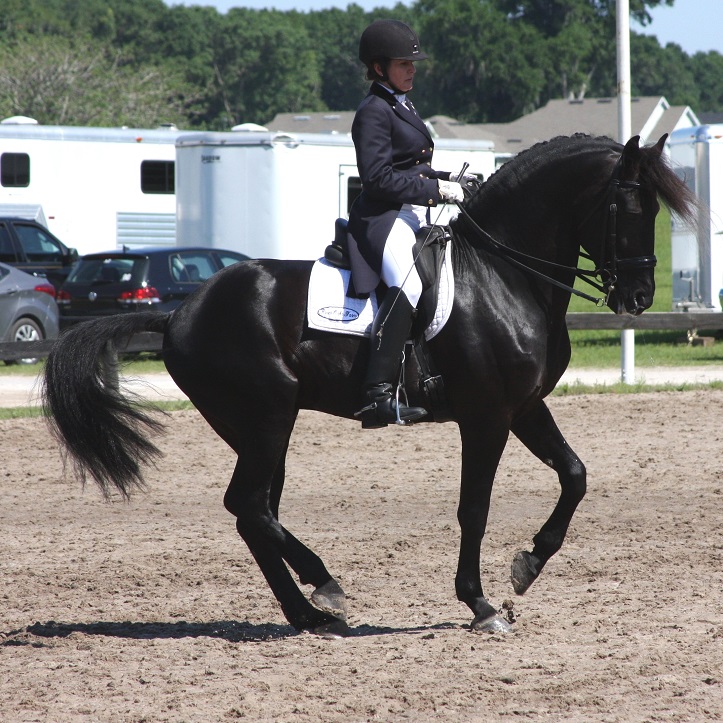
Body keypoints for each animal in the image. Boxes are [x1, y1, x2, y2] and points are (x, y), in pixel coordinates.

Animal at [43, 133, 696, 636]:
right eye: (630, 208)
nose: (639, 297)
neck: (504, 274)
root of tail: (179, 313)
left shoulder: (525, 407)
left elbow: (575, 475)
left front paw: (528, 565)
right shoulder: (486, 416)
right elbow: (475, 507)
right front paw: (481, 604)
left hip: (260, 428)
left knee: (255, 511)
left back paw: (309, 613)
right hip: (267, 418)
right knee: (249, 505)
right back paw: (323, 585)